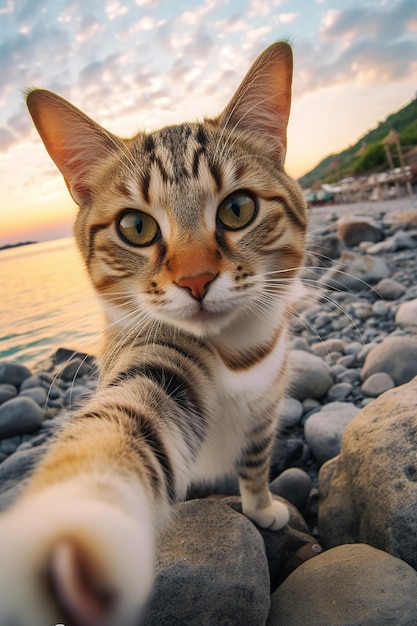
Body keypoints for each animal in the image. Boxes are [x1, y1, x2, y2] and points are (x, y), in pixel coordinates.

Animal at [0, 42, 306, 624]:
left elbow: (255, 460)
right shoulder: (154, 357)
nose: (196, 280)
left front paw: (261, 506)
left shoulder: (265, 405)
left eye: (239, 209)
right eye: (135, 226)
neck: (233, 355)